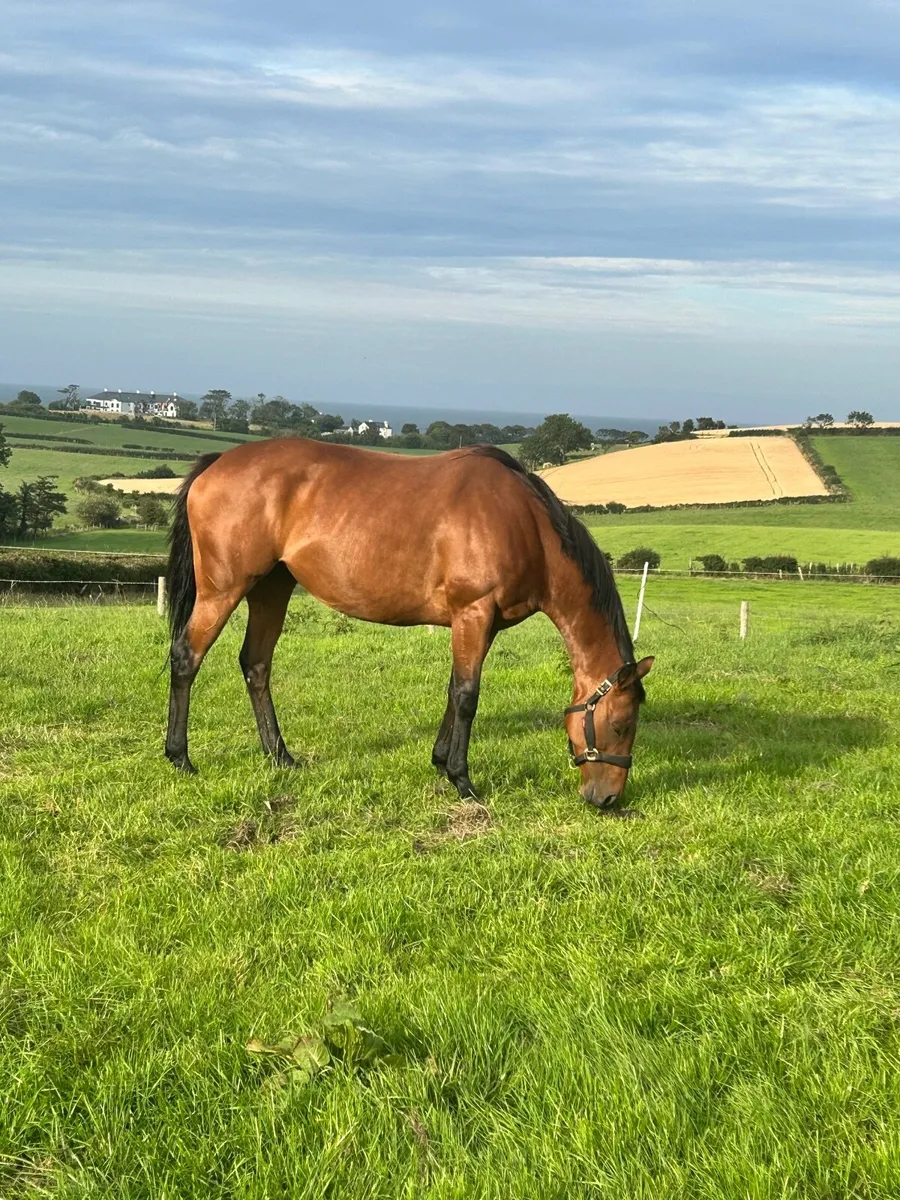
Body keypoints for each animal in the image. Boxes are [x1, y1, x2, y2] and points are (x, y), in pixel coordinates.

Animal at [164, 439, 653, 809]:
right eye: (621, 725)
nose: (607, 799)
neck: (526, 526)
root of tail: (216, 463)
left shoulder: (480, 624)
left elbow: (454, 691)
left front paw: (439, 761)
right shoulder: (473, 613)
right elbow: (468, 696)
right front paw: (462, 780)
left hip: (272, 589)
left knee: (256, 664)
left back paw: (279, 756)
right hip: (223, 591)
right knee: (187, 658)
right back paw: (180, 758)